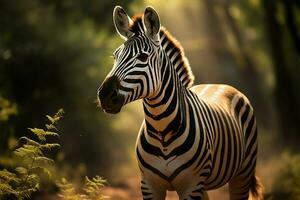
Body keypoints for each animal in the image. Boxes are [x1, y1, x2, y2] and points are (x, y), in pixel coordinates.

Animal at [98, 5, 262, 199]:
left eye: (143, 57)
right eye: (115, 56)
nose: (104, 95)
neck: (161, 129)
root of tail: (220, 84)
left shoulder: (191, 185)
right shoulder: (149, 185)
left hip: (242, 173)